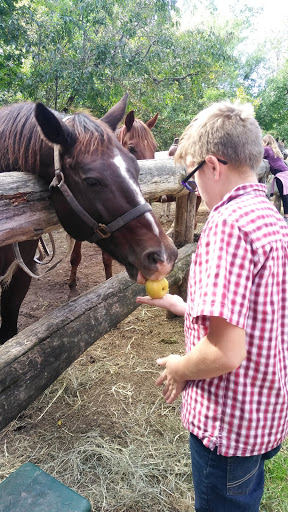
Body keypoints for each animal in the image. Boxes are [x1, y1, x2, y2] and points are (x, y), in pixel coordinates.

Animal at [67, 110, 159, 298]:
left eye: (154, 148)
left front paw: (108, 282)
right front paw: (72, 286)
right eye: (131, 148)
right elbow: (75, 257)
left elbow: (107, 259)